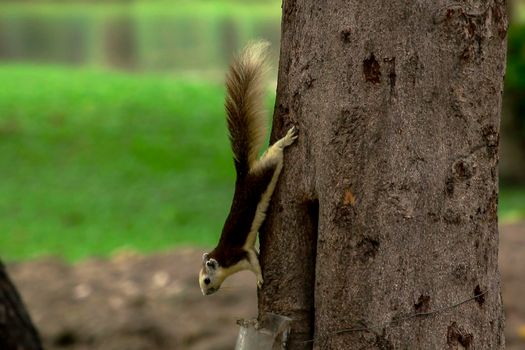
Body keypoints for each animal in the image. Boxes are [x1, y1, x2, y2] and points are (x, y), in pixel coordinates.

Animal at [199, 42, 296, 296]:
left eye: (206, 280)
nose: (206, 293)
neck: (222, 258)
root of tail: (243, 175)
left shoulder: (240, 254)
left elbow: (255, 262)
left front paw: (260, 279)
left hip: (265, 172)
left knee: (274, 155)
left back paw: (284, 141)